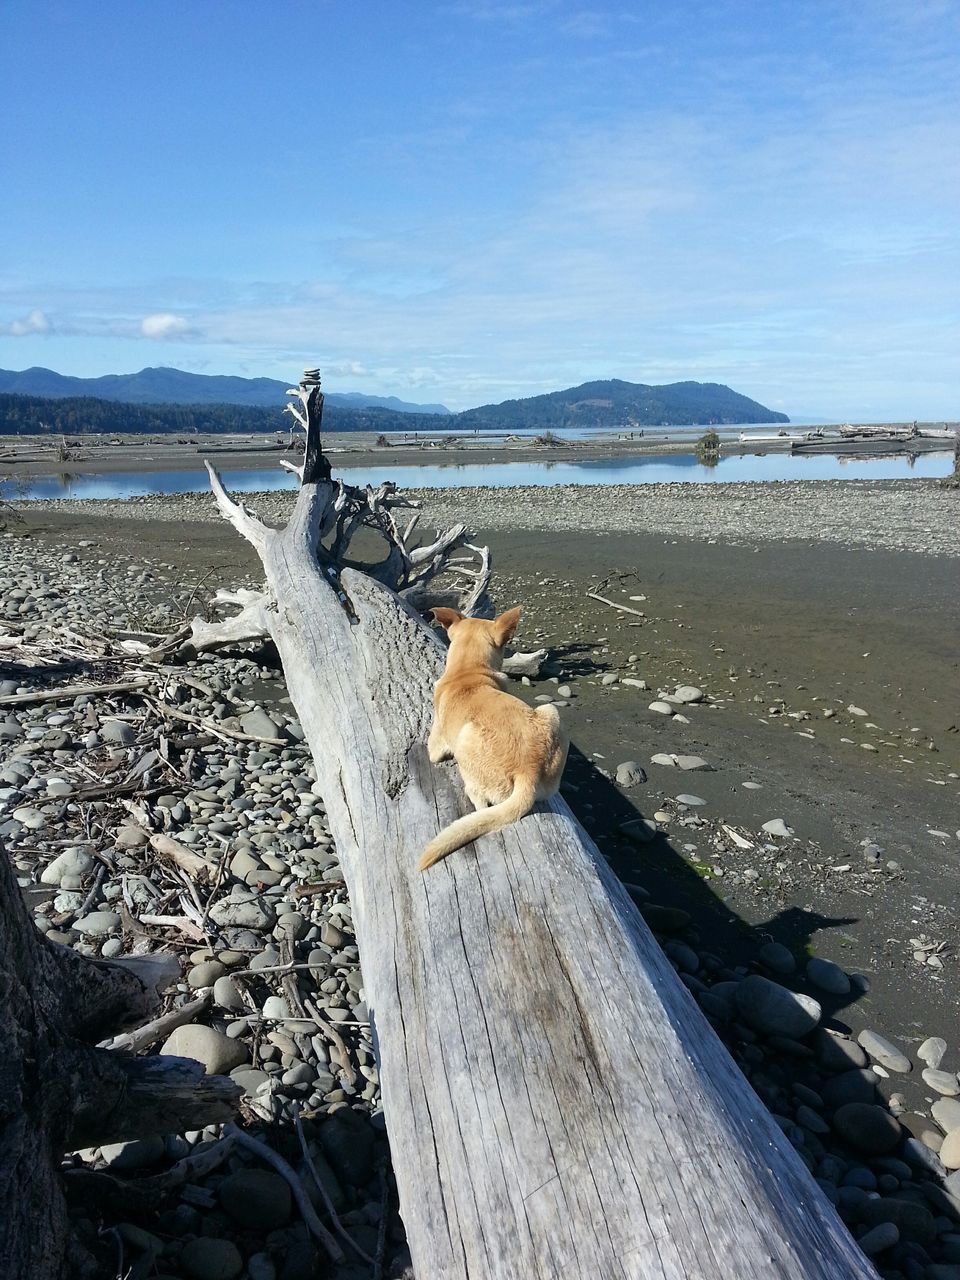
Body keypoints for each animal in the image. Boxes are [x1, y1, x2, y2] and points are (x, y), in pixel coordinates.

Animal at [419, 606, 570, 870]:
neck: (468, 672)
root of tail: (528, 772)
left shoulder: (435, 745)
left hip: (465, 738)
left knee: (479, 800)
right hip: (551, 711)